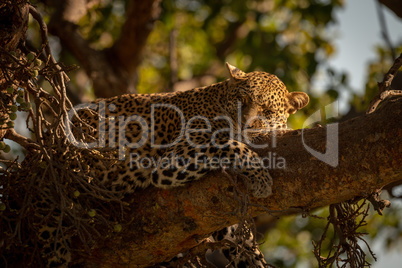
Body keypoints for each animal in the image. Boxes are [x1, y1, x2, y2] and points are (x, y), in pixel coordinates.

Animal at [39, 62, 310, 266]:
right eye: (242, 99)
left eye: (266, 110)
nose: (244, 124)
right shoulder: (175, 157)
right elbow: (228, 143)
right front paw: (261, 178)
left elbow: (244, 245)